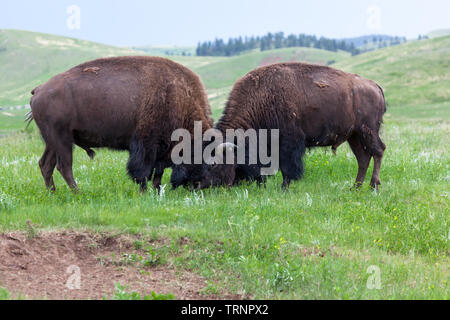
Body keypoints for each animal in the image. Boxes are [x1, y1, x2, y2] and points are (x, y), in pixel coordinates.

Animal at [29, 56, 214, 191]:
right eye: (202, 155)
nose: (201, 185)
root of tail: (39, 90)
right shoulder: (146, 146)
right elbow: (143, 171)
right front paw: (144, 191)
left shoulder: (160, 149)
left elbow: (157, 173)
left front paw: (156, 191)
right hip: (62, 139)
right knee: (64, 166)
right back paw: (77, 192)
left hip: (53, 141)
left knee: (46, 164)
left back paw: (53, 192)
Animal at [172, 61, 386, 189]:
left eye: (213, 163)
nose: (197, 185)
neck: (261, 99)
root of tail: (374, 85)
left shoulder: (289, 143)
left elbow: (288, 167)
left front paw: (285, 187)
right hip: (354, 136)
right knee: (363, 158)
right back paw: (355, 187)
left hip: (368, 131)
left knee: (378, 151)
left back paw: (373, 186)